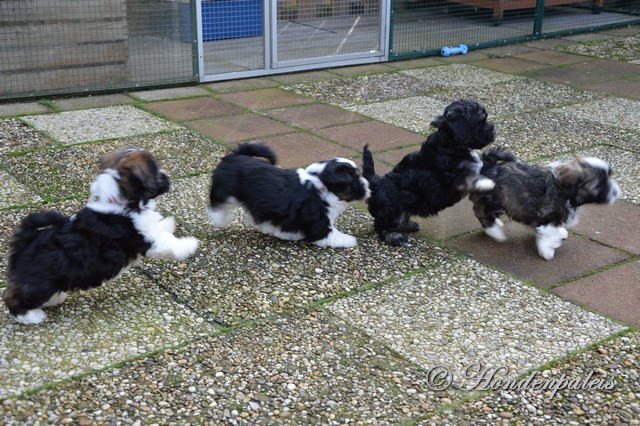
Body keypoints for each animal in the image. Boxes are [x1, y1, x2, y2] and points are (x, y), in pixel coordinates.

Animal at [2, 146, 199, 322]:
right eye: (156, 172)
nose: (167, 176)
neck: (121, 202)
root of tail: (26, 239)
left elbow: (160, 227)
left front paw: (169, 223)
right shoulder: (146, 240)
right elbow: (168, 241)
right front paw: (190, 244)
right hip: (41, 283)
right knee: (14, 297)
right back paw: (31, 316)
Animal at [209, 141, 370, 248]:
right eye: (355, 180)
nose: (368, 186)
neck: (322, 186)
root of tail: (236, 156)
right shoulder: (319, 222)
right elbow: (332, 235)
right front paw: (350, 240)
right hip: (226, 190)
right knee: (216, 202)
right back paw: (220, 218)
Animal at [362, 100, 498, 245]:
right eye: (480, 122)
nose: (494, 130)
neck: (450, 141)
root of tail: (376, 186)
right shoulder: (453, 176)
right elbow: (471, 178)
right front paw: (487, 183)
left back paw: (409, 225)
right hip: (393, 209)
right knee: (382, 225)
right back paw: (396, 237)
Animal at [470, 148, 620, 262]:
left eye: (609, 177)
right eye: (598, 186)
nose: (616, 192)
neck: (565, 190)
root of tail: (487, 167)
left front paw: (559, 234)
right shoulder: (545, 215)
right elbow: (550, 233)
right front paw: (548, 250)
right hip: (491, 200)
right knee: (482, 213)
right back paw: (495, 232)